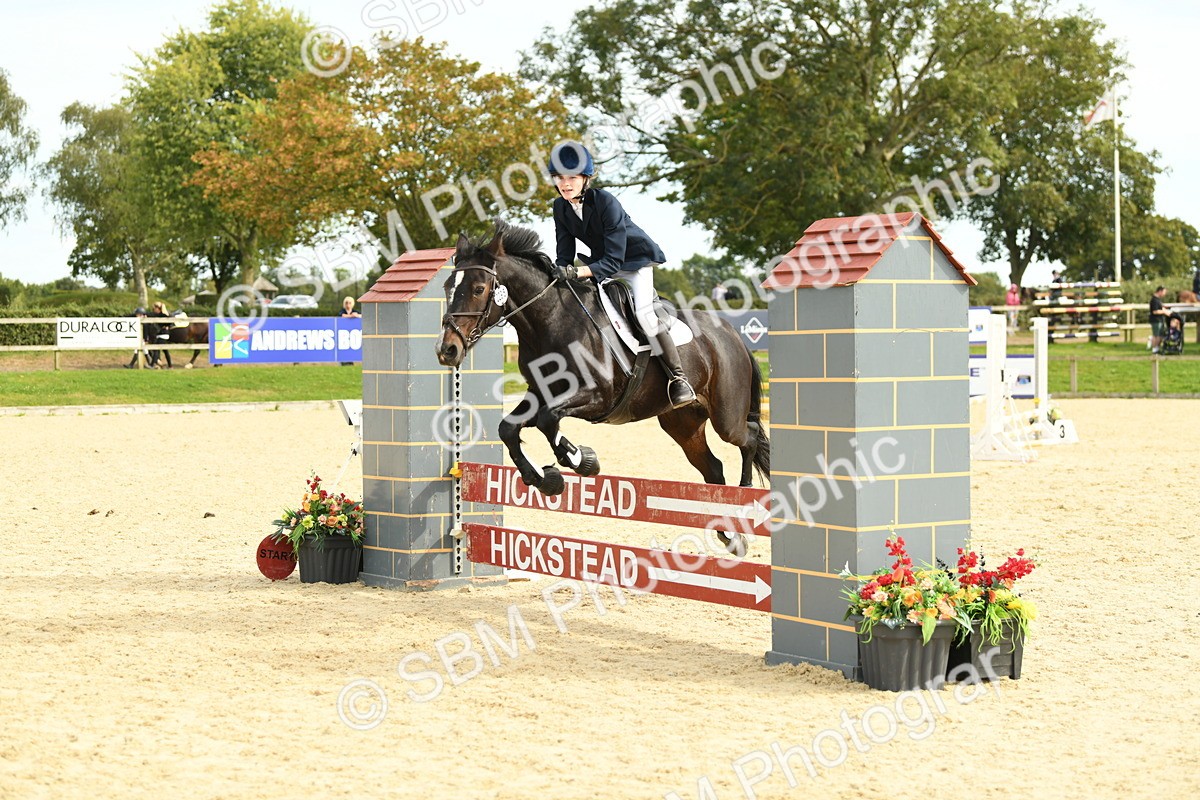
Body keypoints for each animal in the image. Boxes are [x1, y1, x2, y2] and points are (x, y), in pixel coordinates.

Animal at [435, 221, 770, 553]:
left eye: (479, 289)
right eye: (447, 287)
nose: (447, 350)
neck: (551, 320)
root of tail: (730, 333)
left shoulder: (598, 396)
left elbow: (548, 421)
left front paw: (582, 460)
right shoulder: (541, 393)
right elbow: (509, 428)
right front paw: (547, 480)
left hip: (726, 416)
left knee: (749, 437)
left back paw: (745, 503)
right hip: (682, 423)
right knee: (713, 468)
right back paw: (729, 533)